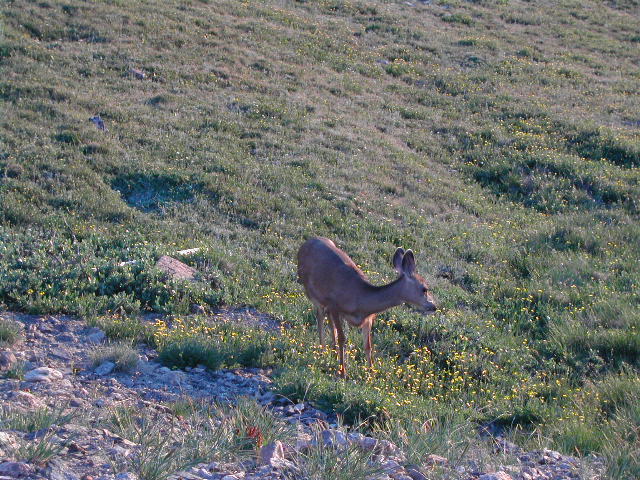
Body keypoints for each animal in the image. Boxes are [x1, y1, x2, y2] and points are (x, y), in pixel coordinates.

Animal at [296, 238, 436, 376]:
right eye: (424, 289)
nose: (433, 306)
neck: (361, 301)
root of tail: (306, 242)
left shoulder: (368, 318)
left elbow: (368, 345)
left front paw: (371, 373)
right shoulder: (334, 306)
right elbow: (342, 338)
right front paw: (343, 372)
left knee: (329, 323)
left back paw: (332, 353)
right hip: (310, 290)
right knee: (320, 318)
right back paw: (322, 351)